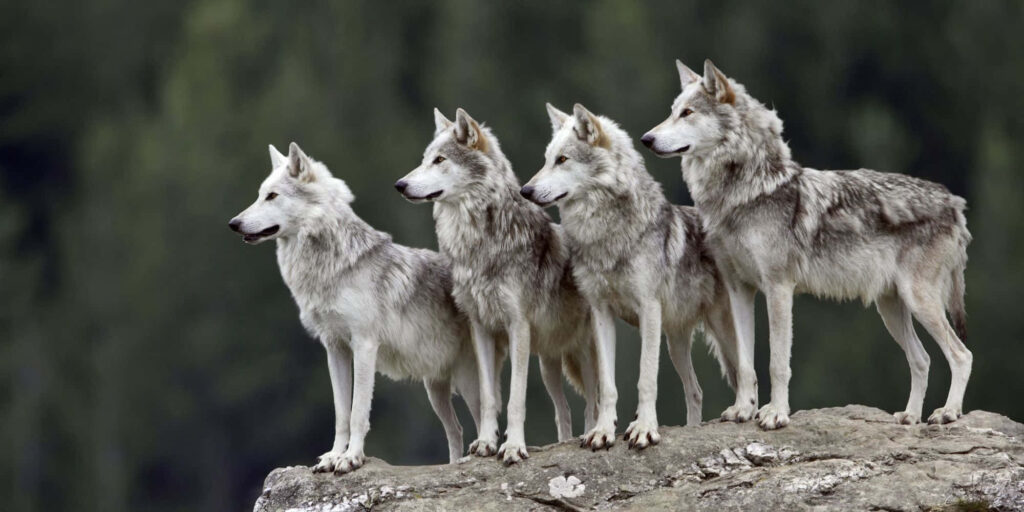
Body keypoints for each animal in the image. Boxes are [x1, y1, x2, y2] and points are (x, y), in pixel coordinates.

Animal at [229, 142, 493, 473]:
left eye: (272, 196)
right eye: (259, 194)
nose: (233, 223)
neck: (331, 267)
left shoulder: (364, 346)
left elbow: (357, 413)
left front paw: (351, 458)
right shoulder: (335, 349)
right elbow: (341, 414)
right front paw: (332, 456)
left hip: (468, 382)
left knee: (484, 418)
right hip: (435, 389)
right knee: (456, 429)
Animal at [395, 108, 599, 465]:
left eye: (439, 160)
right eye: (424, 159)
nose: (400, 185)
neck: (479, 245)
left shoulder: (517, 326)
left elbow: (516, 398)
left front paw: (514, 447)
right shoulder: (481, 328)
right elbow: (490, 397)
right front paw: (486, 443)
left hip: (582, 352)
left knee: (593, 402)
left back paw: (591, 436)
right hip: (548, 364)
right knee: (563, 410)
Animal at [521, 103, 743, 449]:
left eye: (563, 159)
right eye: (547, 159)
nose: (525, 190)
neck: (606, 235)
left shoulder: (648, 310)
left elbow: (646, 378)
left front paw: (644, 429)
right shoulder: (601, 314)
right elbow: (608, 385)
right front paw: (602, 432)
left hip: (721, 329)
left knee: (748, 372)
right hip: (676, 343)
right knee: (695, 390)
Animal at [642, 59, 972, 429]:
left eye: (687, 113)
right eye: (672, 112)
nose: (646, 139)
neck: (744, 193)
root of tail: (954, 203)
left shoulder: (778, 288)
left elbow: (777, 362)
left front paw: (775, 414)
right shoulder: (739, 290)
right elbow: (745, 364)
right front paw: (743, 410)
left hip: (919, 301)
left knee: (961, 354)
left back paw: (948, 413)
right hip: (891, 308)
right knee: (922, 359)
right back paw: (910, 417)